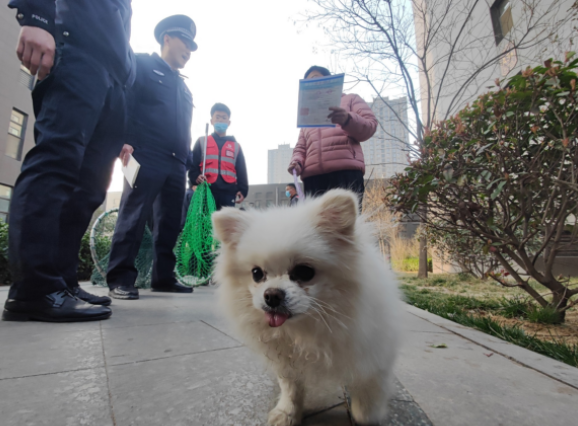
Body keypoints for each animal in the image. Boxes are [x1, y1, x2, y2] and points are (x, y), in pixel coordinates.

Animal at [213, 190, 400, 426]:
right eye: (257, 273)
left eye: (304, 272)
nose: (272, 295)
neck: (307, 329)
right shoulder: (288, 361)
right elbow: (291, 388)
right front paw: (287, 413)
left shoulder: (372, 357)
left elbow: (368, 396)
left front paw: (367, 416)